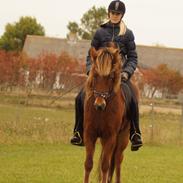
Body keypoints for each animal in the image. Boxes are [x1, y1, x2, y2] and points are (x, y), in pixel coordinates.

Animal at [83, 44, 132, 183]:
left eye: (111, 77)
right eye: (94, 76)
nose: (99, 105)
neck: (101, 113)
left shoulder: (110, 136)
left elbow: (105, 165)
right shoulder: (90, 134)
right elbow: (88, 164)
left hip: (122, 138)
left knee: (118, 160)